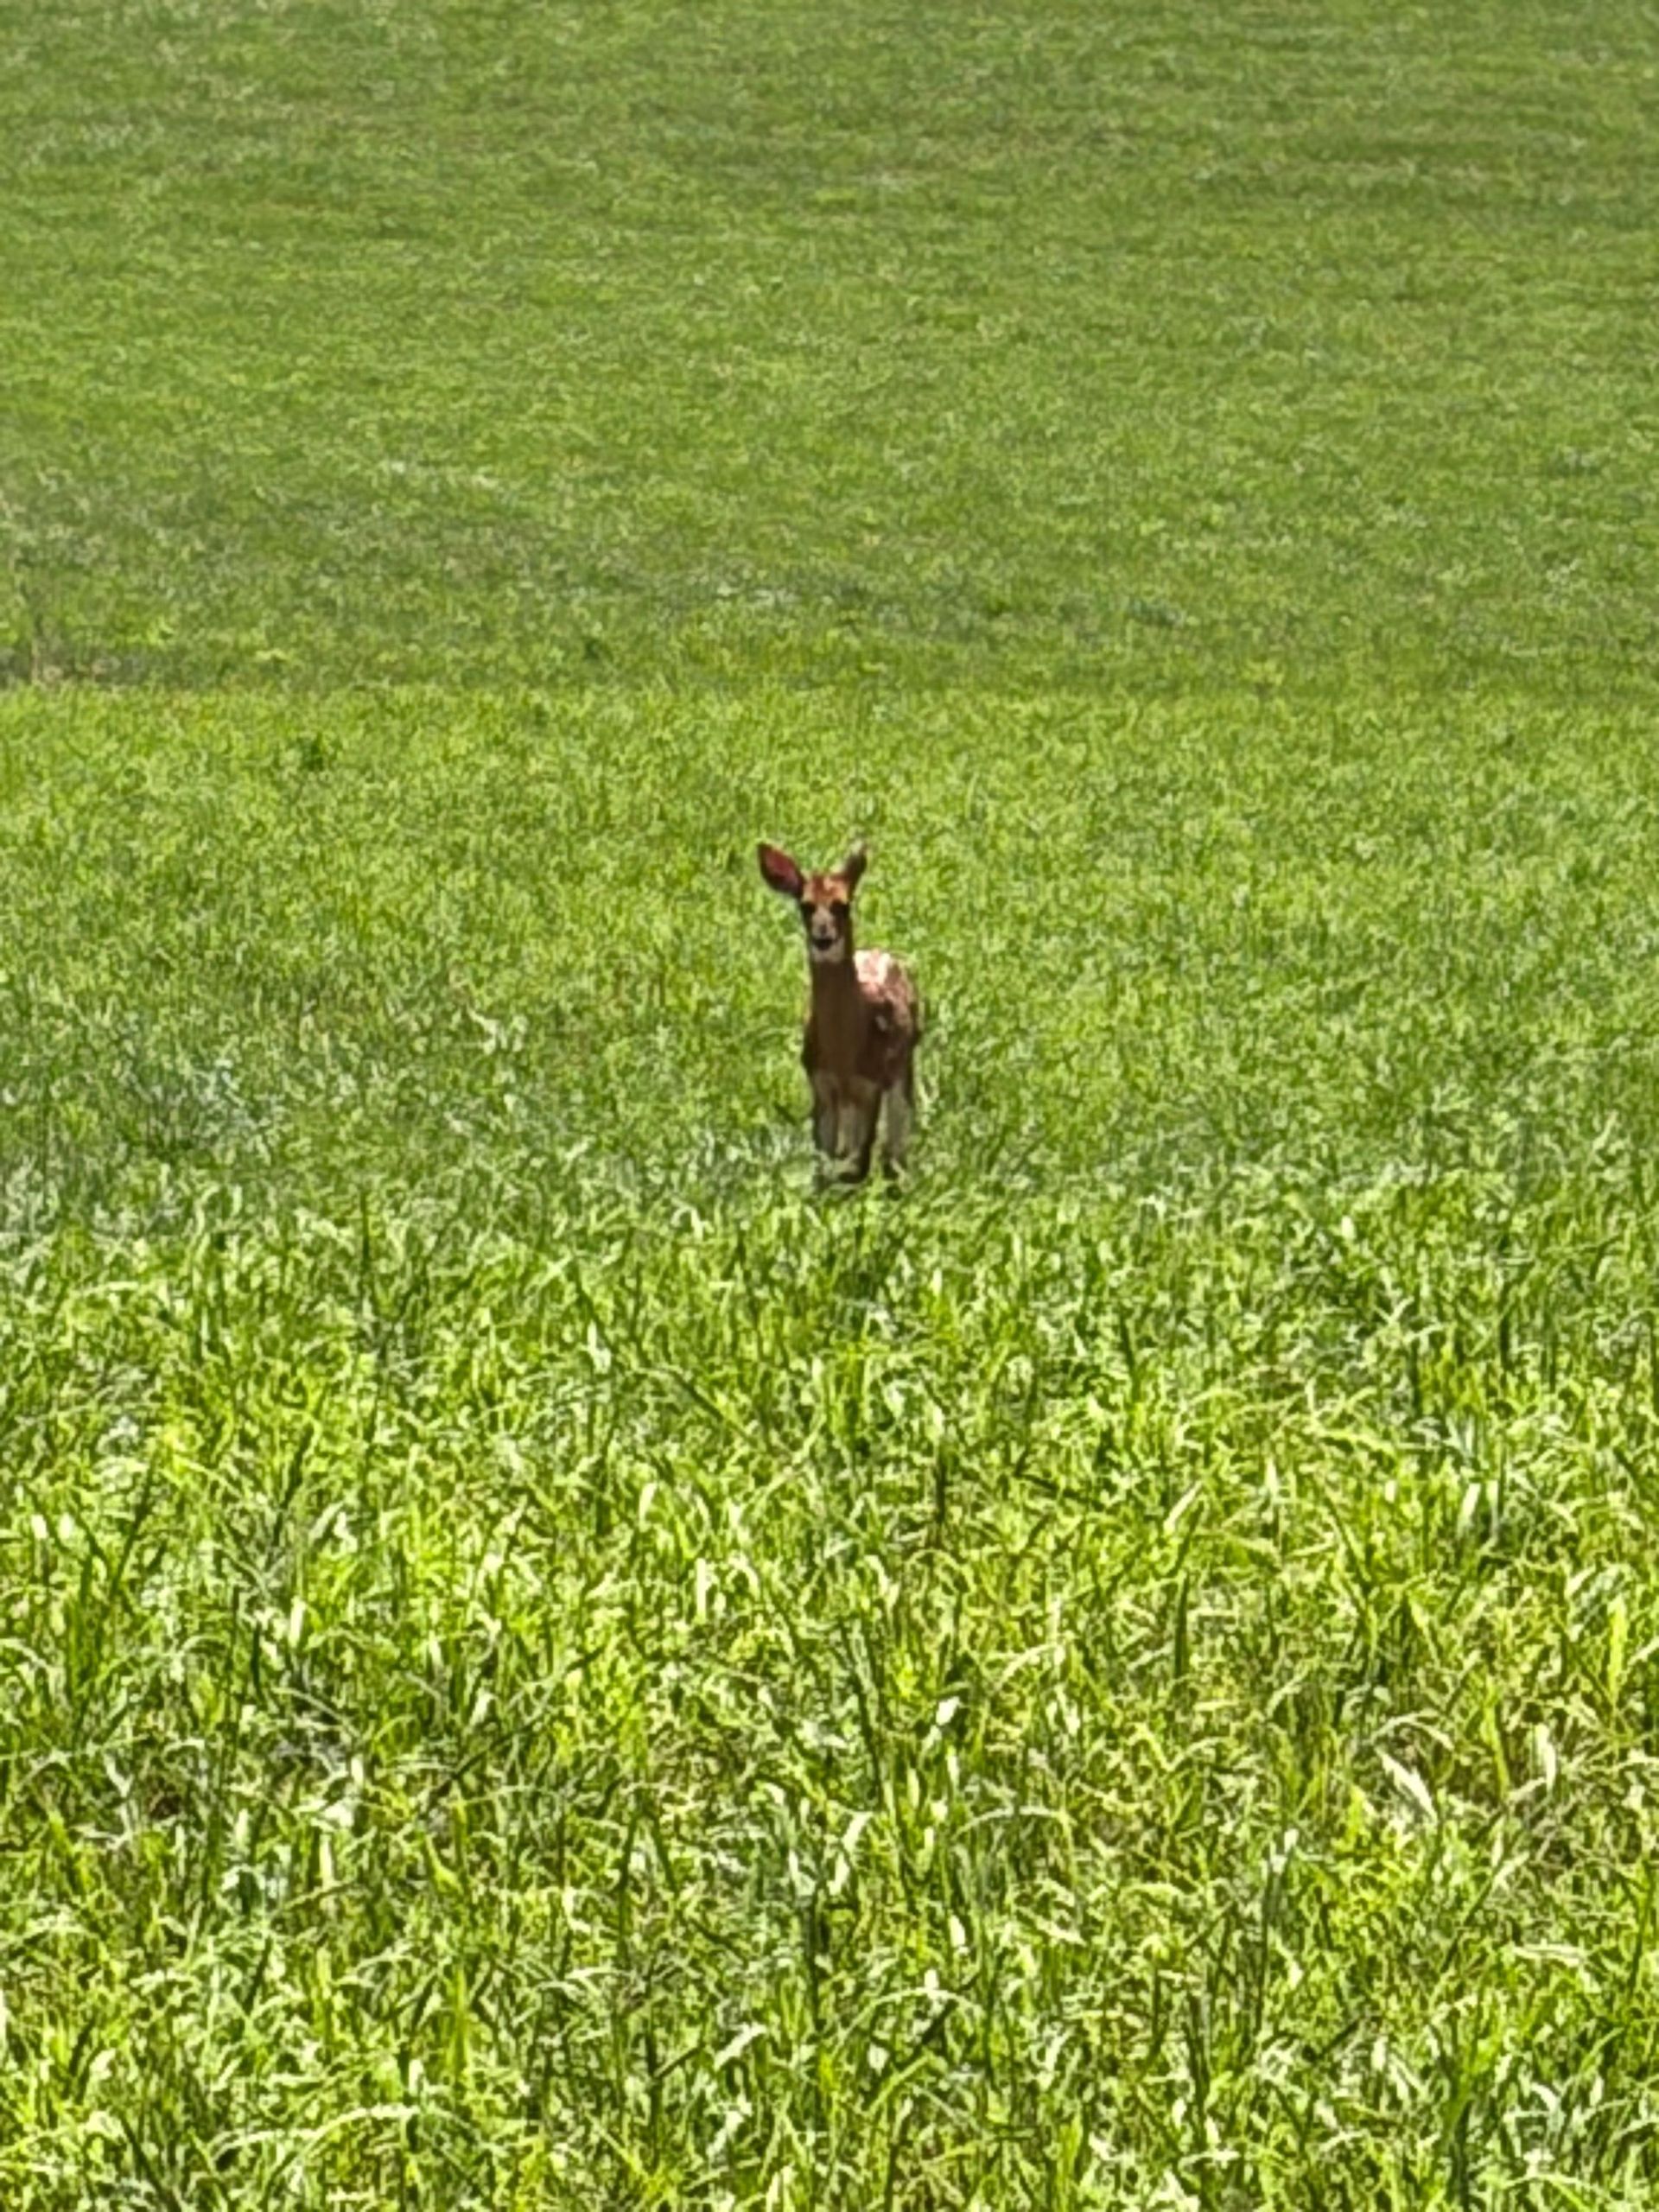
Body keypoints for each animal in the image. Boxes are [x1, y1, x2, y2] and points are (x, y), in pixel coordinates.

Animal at [758, 840, 922, 1181]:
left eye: (843, 905)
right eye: (805, 906)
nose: (823, 937)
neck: (843, 1053)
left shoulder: (870, 1083)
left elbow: (857, 1166)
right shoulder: (820, 1083)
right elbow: (823, 1165)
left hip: (904, 1062)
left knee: (897, 1131)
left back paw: (898, 1174)